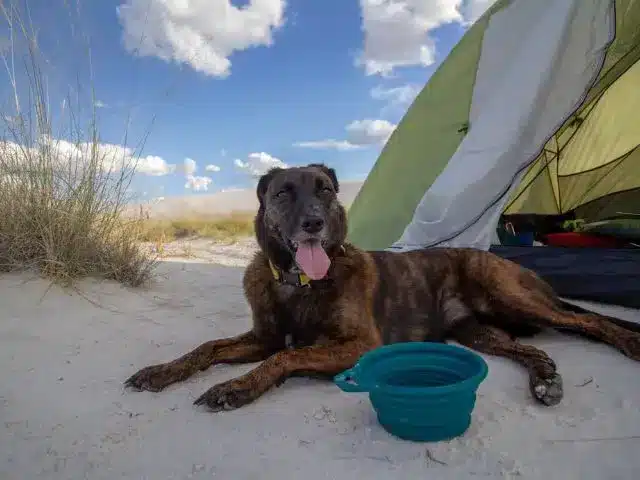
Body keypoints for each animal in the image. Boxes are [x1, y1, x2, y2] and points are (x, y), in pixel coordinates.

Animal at [125, 162, 640, 408]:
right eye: (283, 193)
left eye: (325, 190)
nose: (314, 223)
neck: (300, 284)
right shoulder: (261, 338)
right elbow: (207, 348)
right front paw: (161, 371)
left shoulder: (357, 344)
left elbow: (286, 357)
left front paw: (237, 387)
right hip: (477, 332)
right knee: (534, 349)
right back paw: (545, 379)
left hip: (509, 294)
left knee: (587, 322)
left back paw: (627, 343)